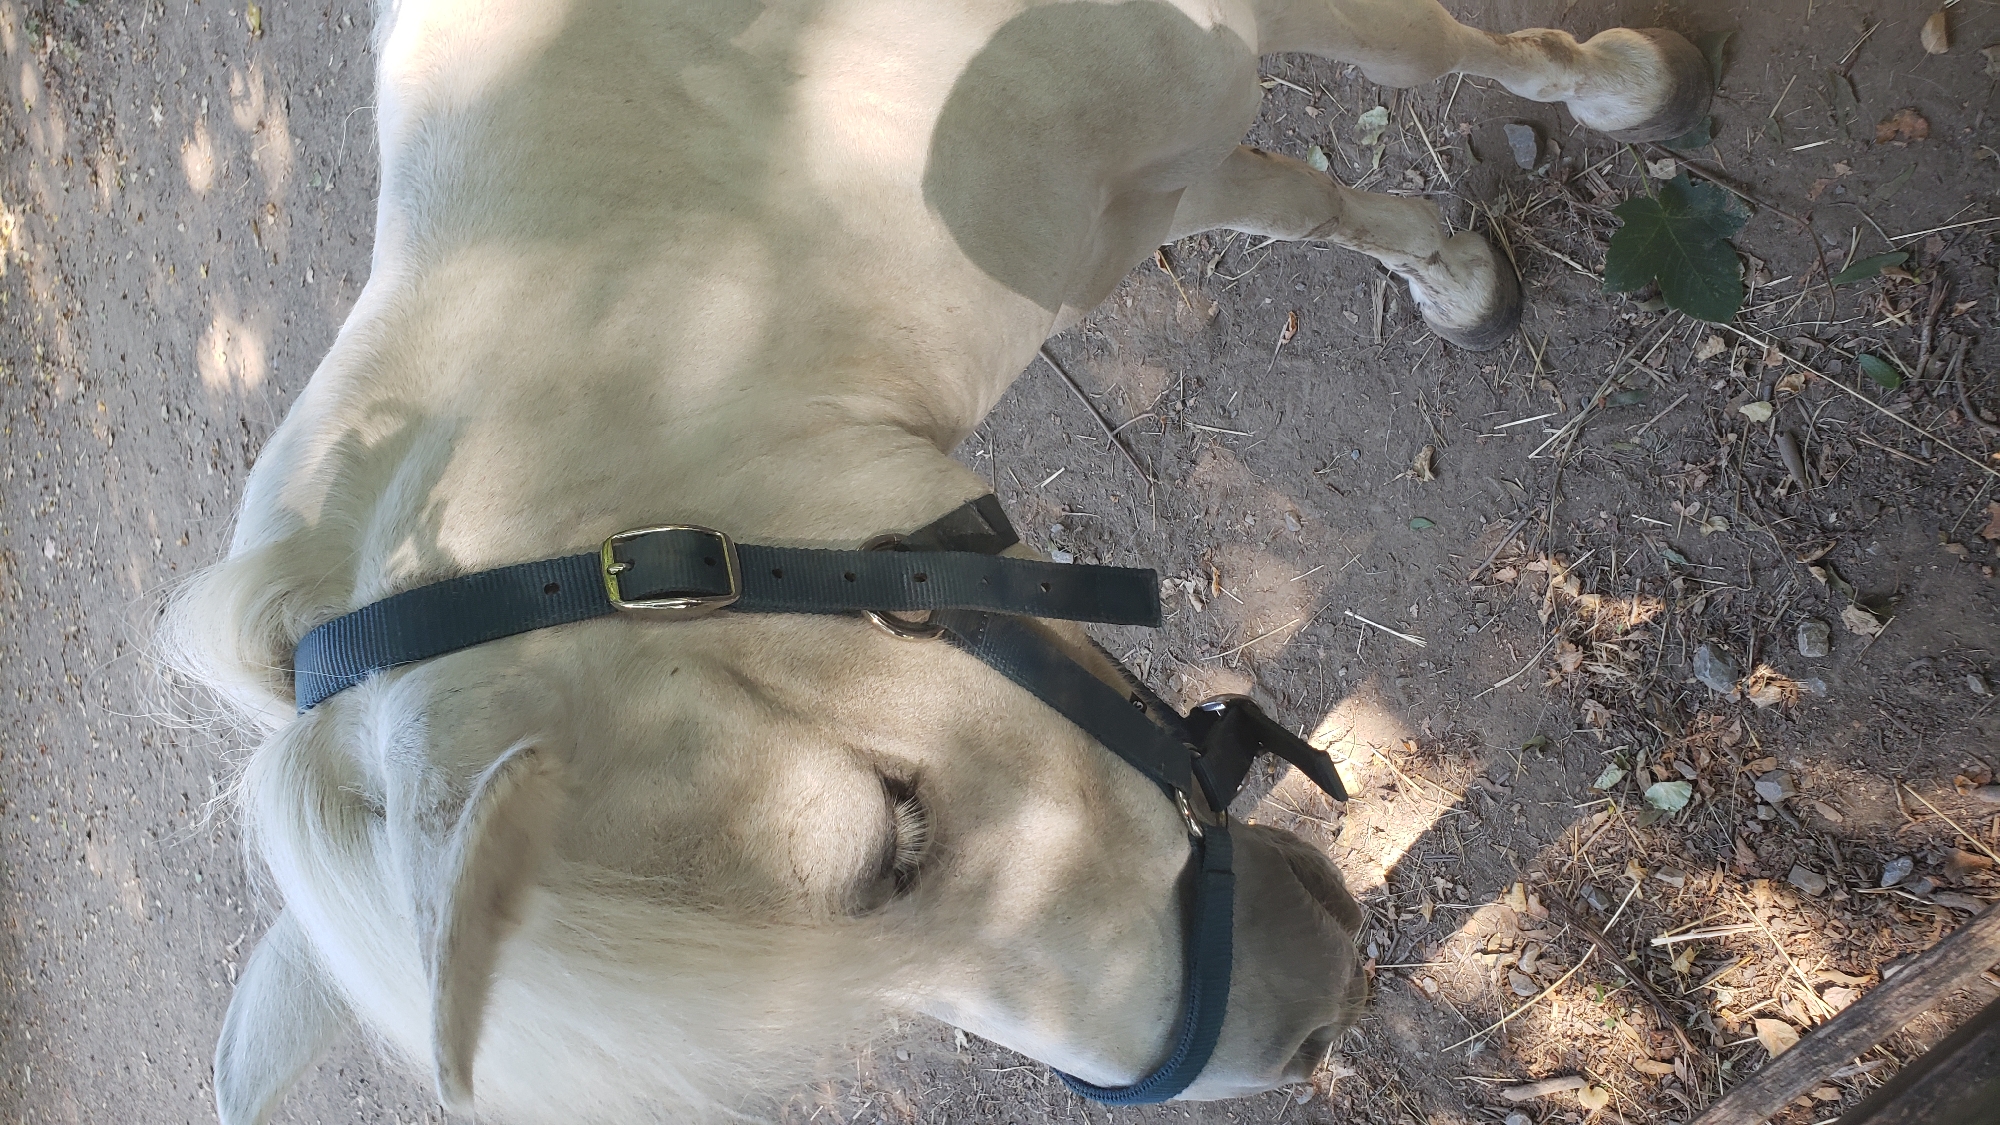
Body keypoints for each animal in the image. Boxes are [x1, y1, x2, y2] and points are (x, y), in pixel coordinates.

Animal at [165, 0, 1707, 1120]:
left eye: (882, 835)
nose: (1308, 1030)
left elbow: (1420, 67)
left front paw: (1616, 96)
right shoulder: (1144, 187)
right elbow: (1301, 199)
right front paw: (1456, 261)